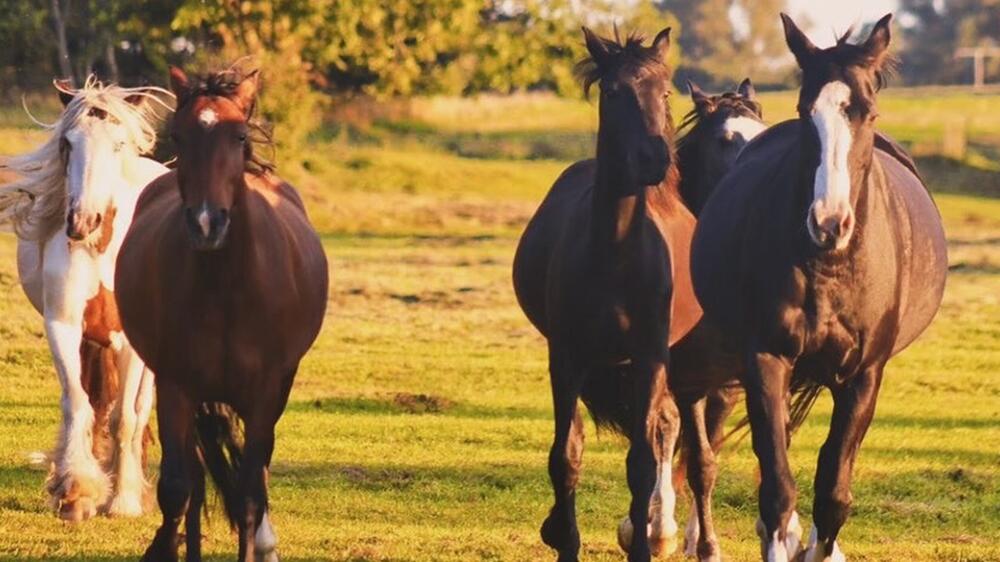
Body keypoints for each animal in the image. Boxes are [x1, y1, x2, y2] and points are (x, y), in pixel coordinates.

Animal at [0, 76, 169, 520]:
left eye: (119, 144)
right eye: (68, 144)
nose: (82, 222)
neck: (104, 247)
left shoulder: (132, 341)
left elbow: (125, 417)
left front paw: (123, 500)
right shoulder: (64, 325)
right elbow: (79, 403)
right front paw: (76, 492)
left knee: (138, 408)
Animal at [115, 66, 328, 560]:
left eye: (238, 136)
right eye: (178, 135)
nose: (207, 223)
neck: (227, 289)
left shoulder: (265, 394)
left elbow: (250, 494)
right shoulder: (176, 387)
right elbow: (177, 490)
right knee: (193, 481)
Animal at [688, 13, 944, 560]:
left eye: (867, 113)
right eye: (807, 111)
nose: (829, 223)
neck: (830, 267)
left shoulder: (864, 376)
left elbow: (832, 495)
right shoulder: (766, 360)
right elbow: (777, 487)